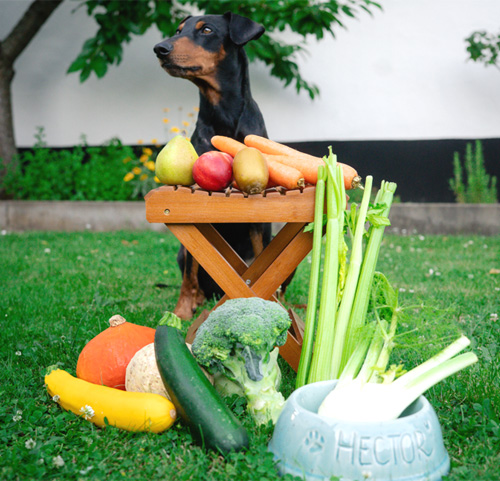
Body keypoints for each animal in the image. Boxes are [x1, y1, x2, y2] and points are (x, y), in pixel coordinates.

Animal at [154, 12, 274, 319]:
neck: (223, 113)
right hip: (182, 253)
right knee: (194, 274)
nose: (160, 48)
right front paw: (182, 311)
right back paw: (197, 299)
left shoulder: (259, 220)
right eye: (178, 30)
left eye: (206, 30)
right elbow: (189, 275)